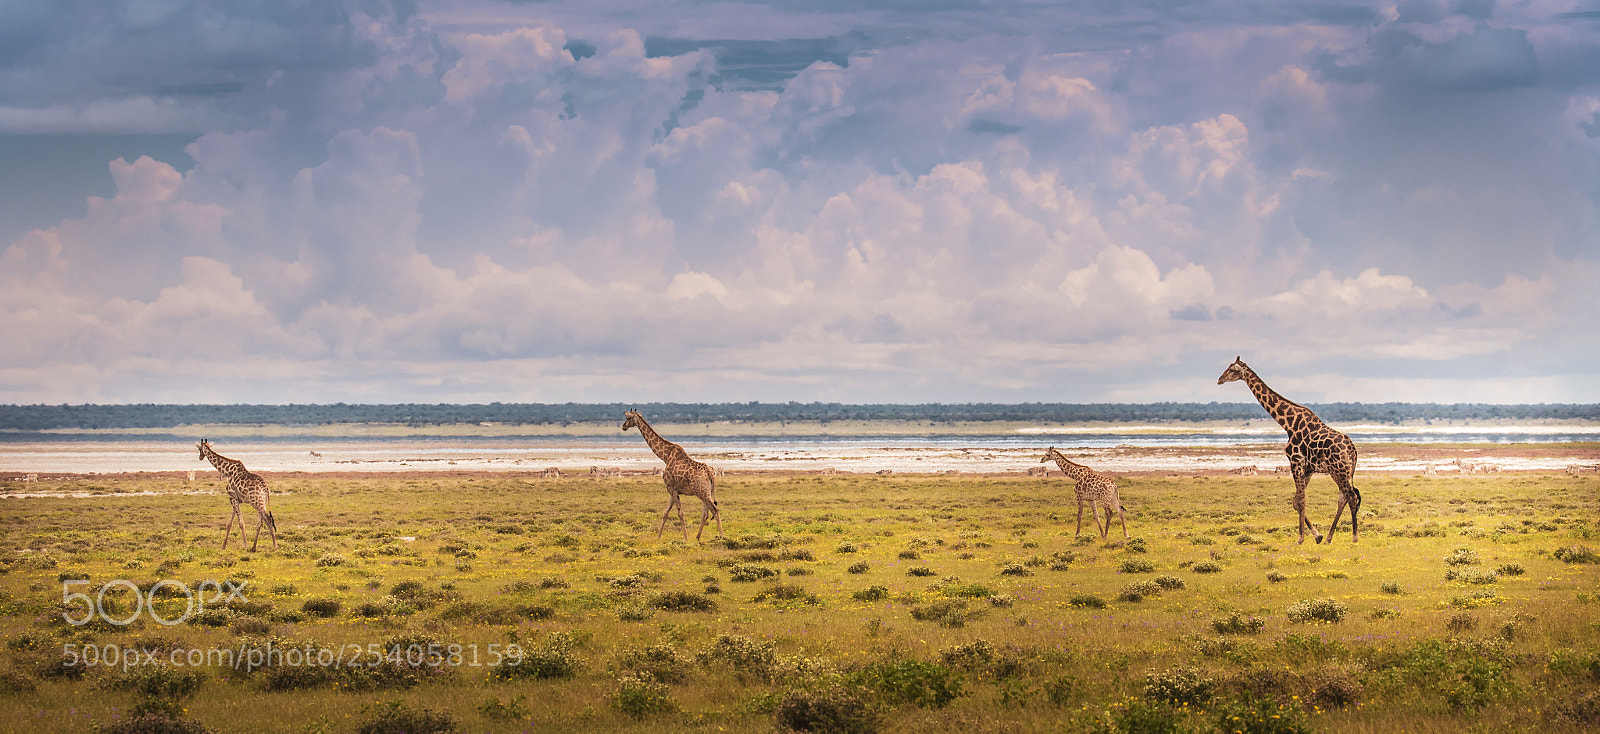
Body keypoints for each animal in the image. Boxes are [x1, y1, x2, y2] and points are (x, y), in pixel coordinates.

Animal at [621, 410, 723, 541]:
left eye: (627, 417)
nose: (623, 426)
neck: (665, 456)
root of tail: (710, 474)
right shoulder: (673, 489)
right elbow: (665, 513)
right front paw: (658, 537)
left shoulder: (671, 487)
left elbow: (680, 513)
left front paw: (685, 538)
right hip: (705, 492)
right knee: (705, 513)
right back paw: (697, 538)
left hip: (702, 492)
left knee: (715, 510)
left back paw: (722, 537)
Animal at [1217, 356, 1361, 544]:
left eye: (1232, 370)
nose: (1219, 379)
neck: (1288, 424)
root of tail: (1352, 450)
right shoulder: (1308, 468)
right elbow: (1295, 501)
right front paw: (1317, 535)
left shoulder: (1296, 462)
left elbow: (1301, 500)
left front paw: (1300, 538)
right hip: (1343, 472)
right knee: (1343, 497)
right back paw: (1329, 537)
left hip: (1339, 471)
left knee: (1351, 496)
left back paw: (1355, 537)